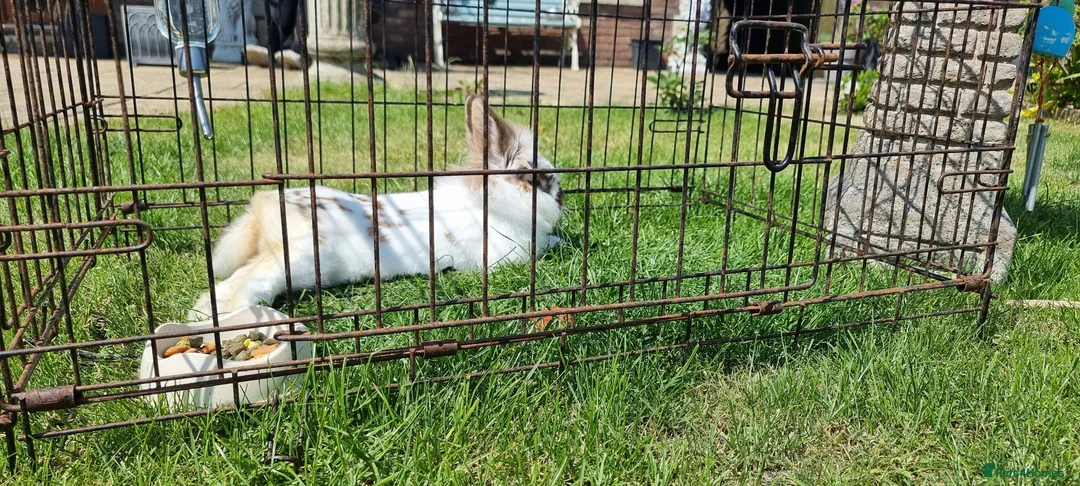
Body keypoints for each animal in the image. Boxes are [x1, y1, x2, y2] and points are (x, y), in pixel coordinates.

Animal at [189, 95, 563, 320]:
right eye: (539, 179)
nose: (562, 198)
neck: (489, 202)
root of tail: (264, 208)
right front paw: (560, 240)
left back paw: (203, 315)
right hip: (297, 260)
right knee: (247, 282)